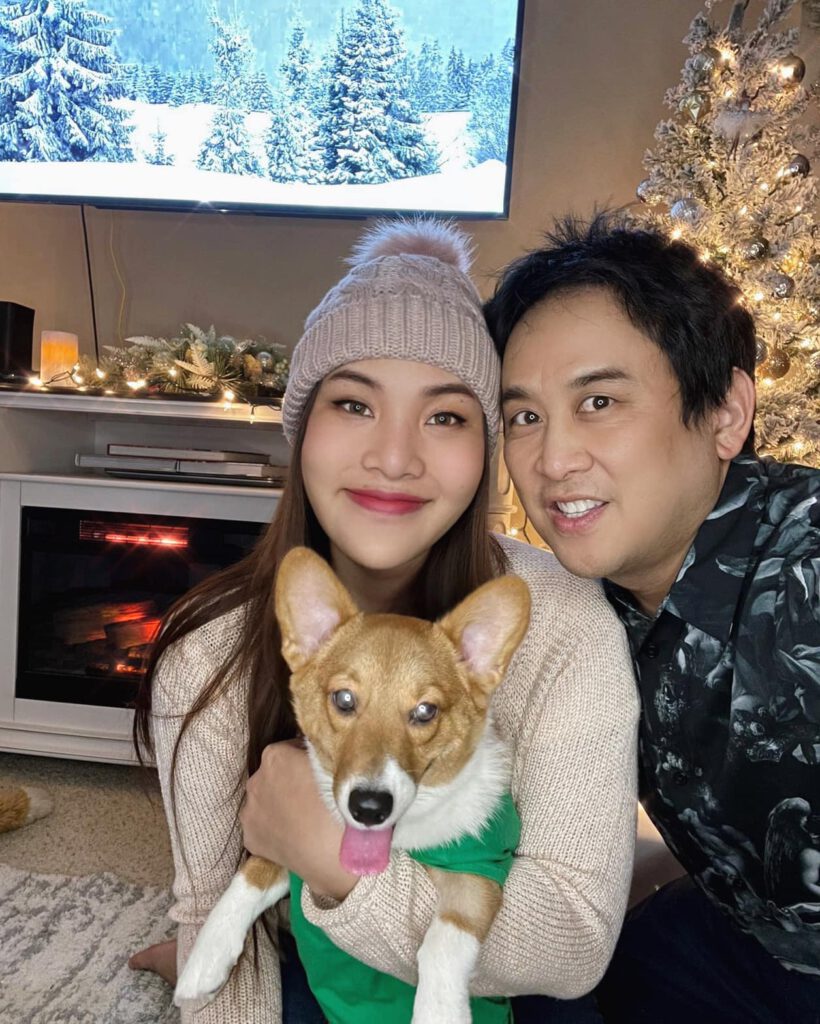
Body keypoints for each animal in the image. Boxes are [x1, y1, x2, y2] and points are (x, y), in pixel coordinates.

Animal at [175, 545, 530, 1022]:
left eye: (425, 711)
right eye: (344, 700)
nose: (369, 808)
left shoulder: (479, 875)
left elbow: (442, 942)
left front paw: (439, 1011)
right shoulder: (287, 853)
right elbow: (250, 875)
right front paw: (204, 961)